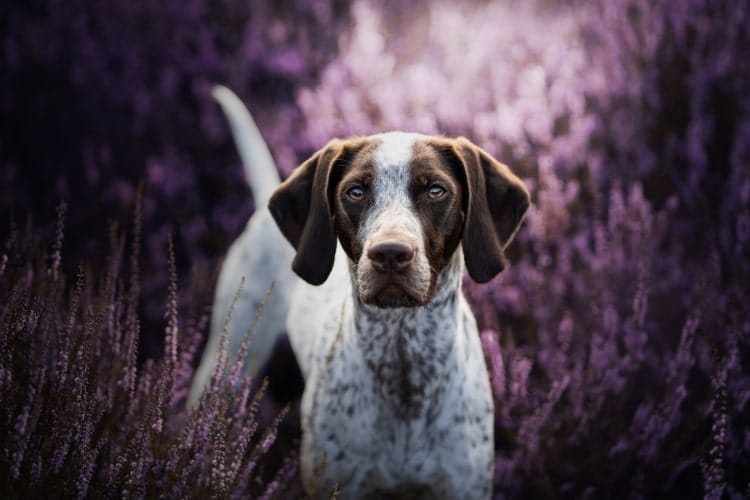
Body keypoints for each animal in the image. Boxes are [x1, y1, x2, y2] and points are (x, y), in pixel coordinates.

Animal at [191, 88, 532, 498]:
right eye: (355, 192)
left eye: (436, 190)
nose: (390, 253)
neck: (403, 365)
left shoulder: (462, 486)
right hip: (229, 359)